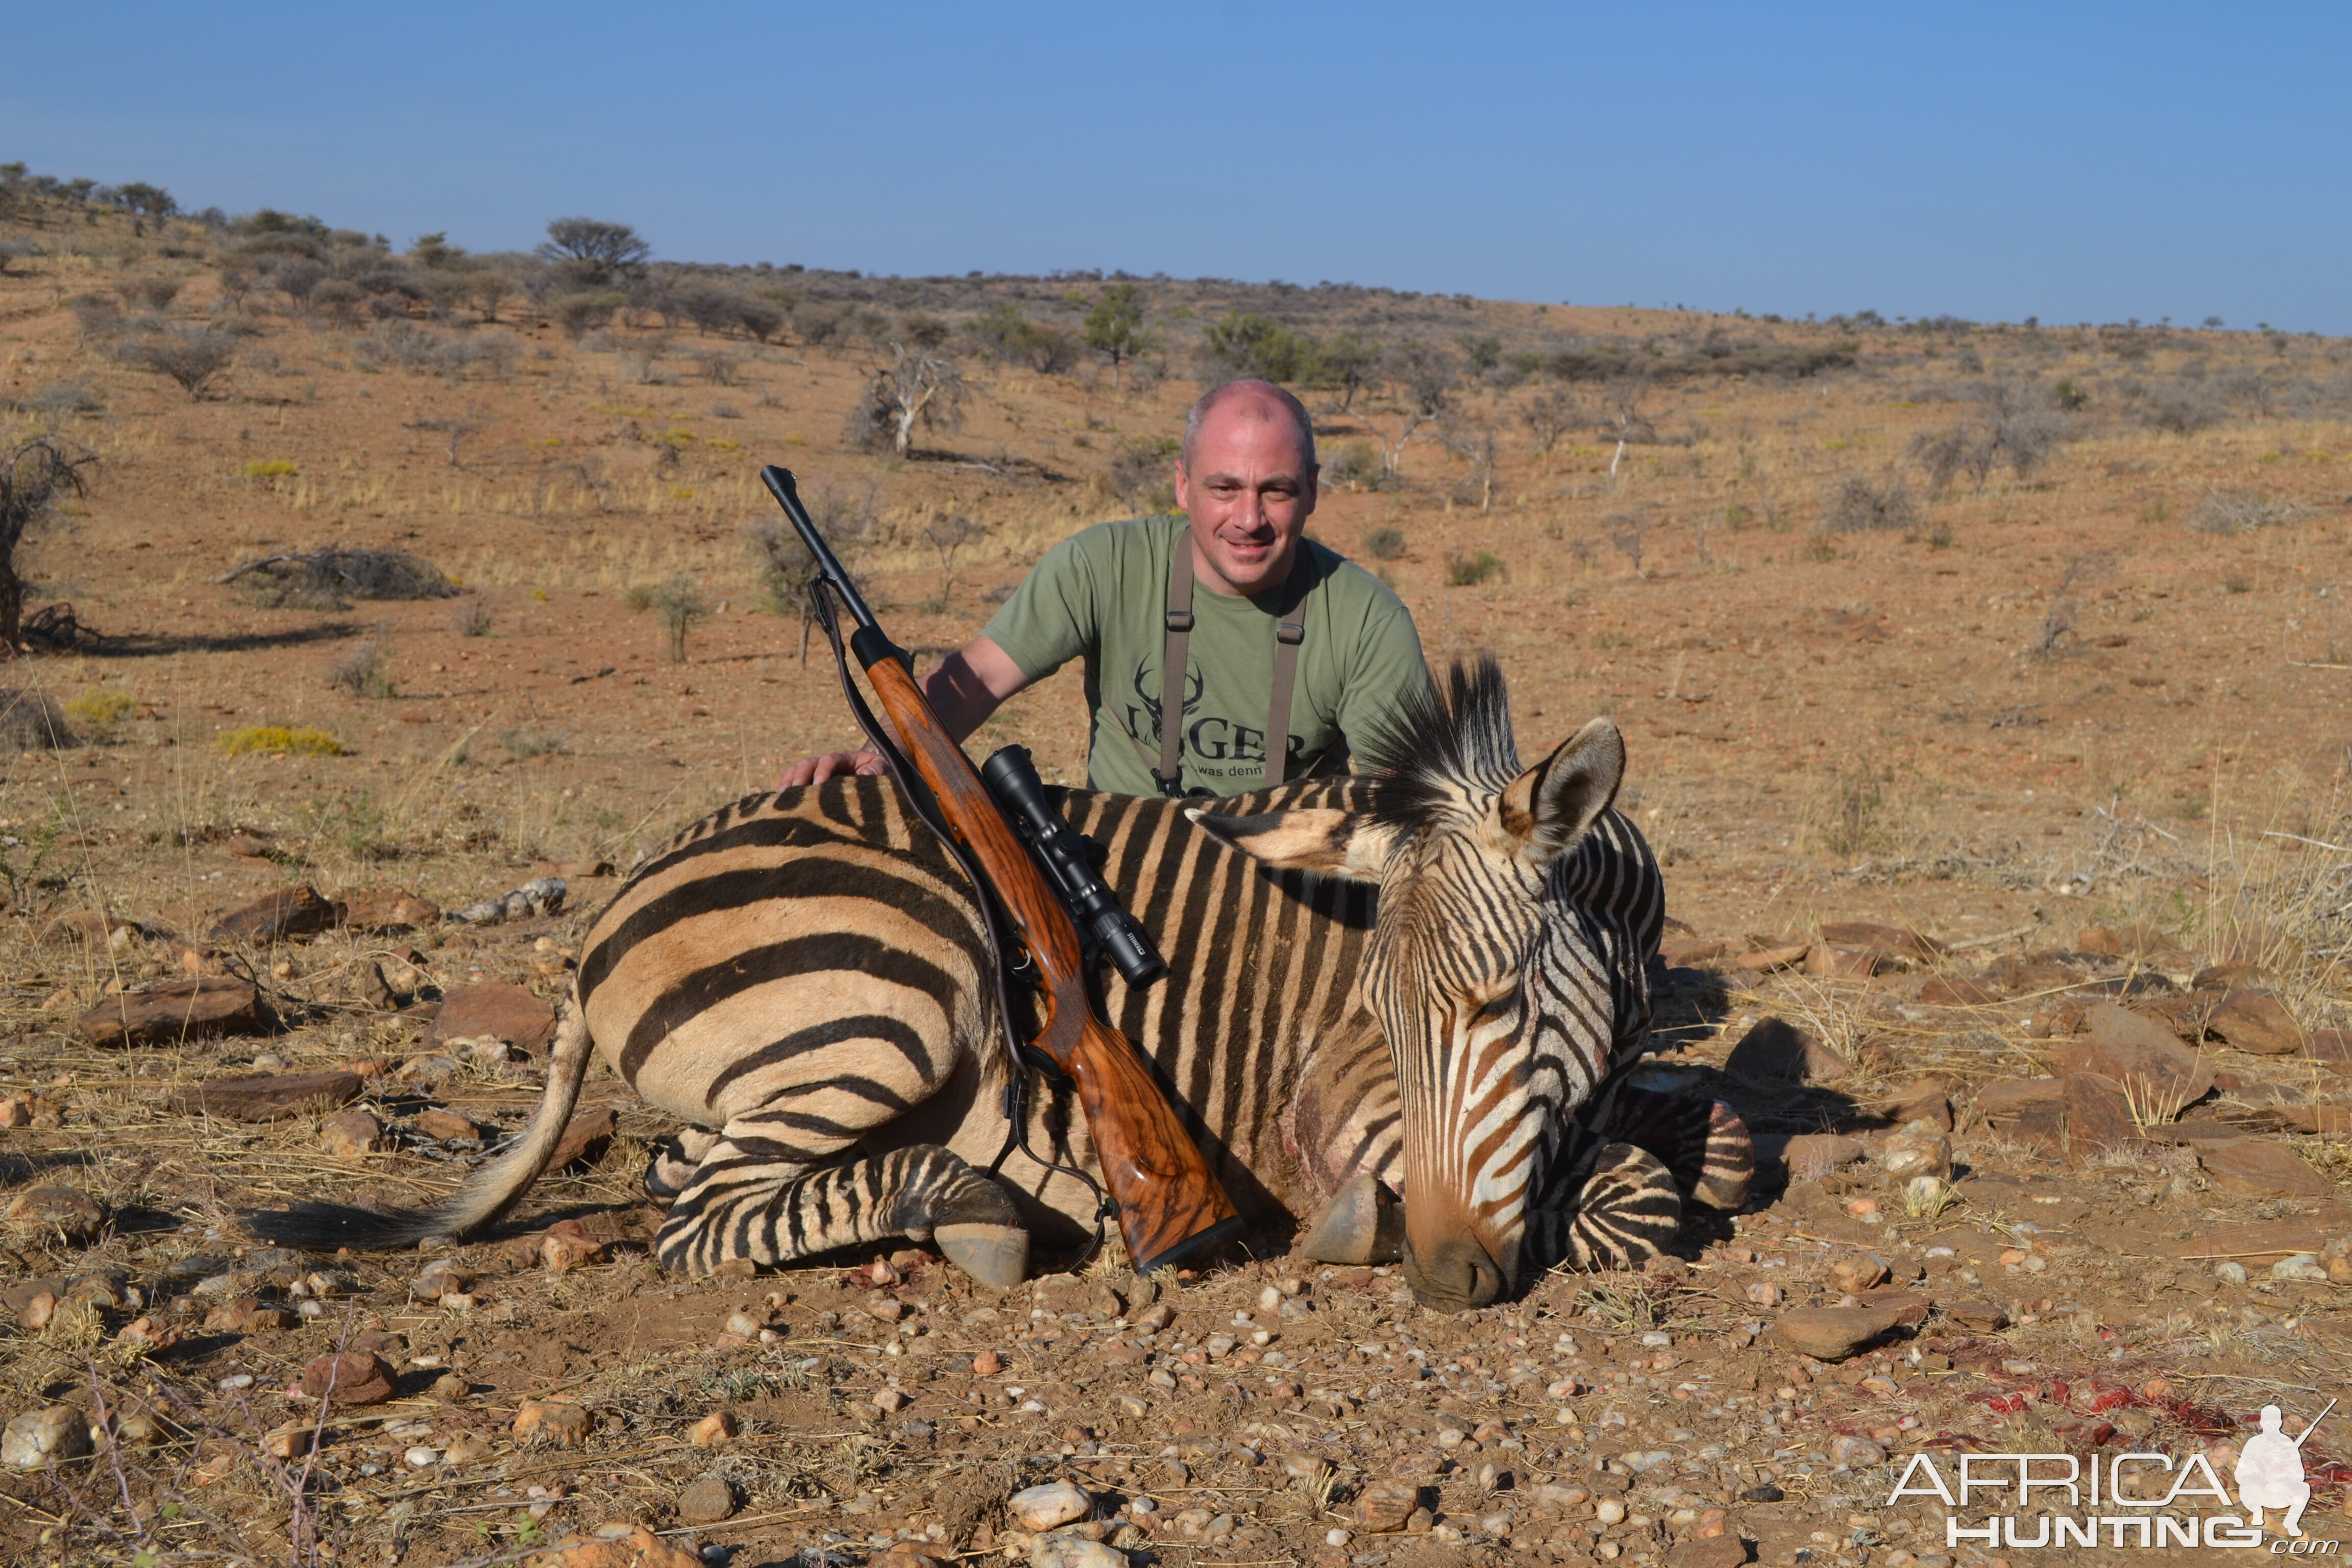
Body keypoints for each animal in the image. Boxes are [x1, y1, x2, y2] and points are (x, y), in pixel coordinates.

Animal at [257, 658, 1759, 1307]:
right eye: (1372, 1017)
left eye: (1497, 1009)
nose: (1448, 1277)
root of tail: (613, 906)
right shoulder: (1347, 1113)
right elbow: (1631, 1196)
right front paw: (1361, 1226)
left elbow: (1717, 1139)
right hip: (905, 989)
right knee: (694, 1213)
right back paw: (977, 1209)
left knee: (692, 1173)